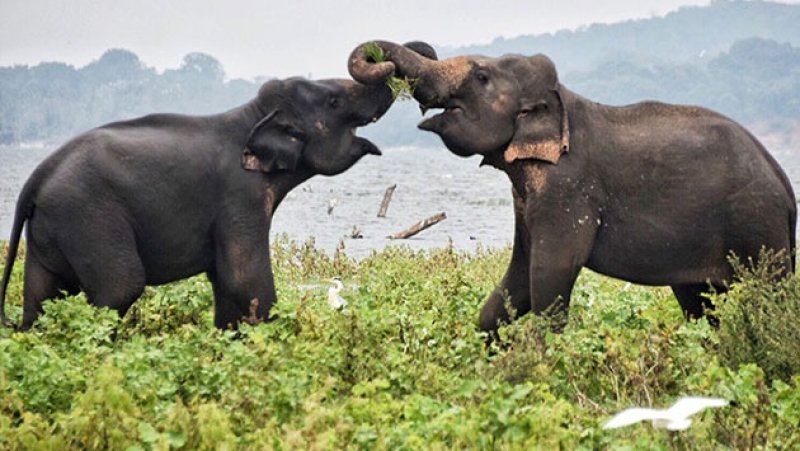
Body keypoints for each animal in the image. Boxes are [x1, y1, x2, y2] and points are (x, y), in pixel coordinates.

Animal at [0, 53, 434, 330]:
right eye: (333, 100)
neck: (251, 115)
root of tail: (35, 179)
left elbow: (227, 284)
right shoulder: (239, 195)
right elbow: (245, 279)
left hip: (53, 231)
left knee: (42, 296)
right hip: (88, 217)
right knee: (119, 287)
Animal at [348, 40, 797, 333]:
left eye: (481, 76)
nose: (383, 66)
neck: (562, 100)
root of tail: (785, 186)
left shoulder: (568, 188)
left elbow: (549, 275)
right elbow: (517, 279)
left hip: (759, 226)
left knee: (770, 297)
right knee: (698, 304)